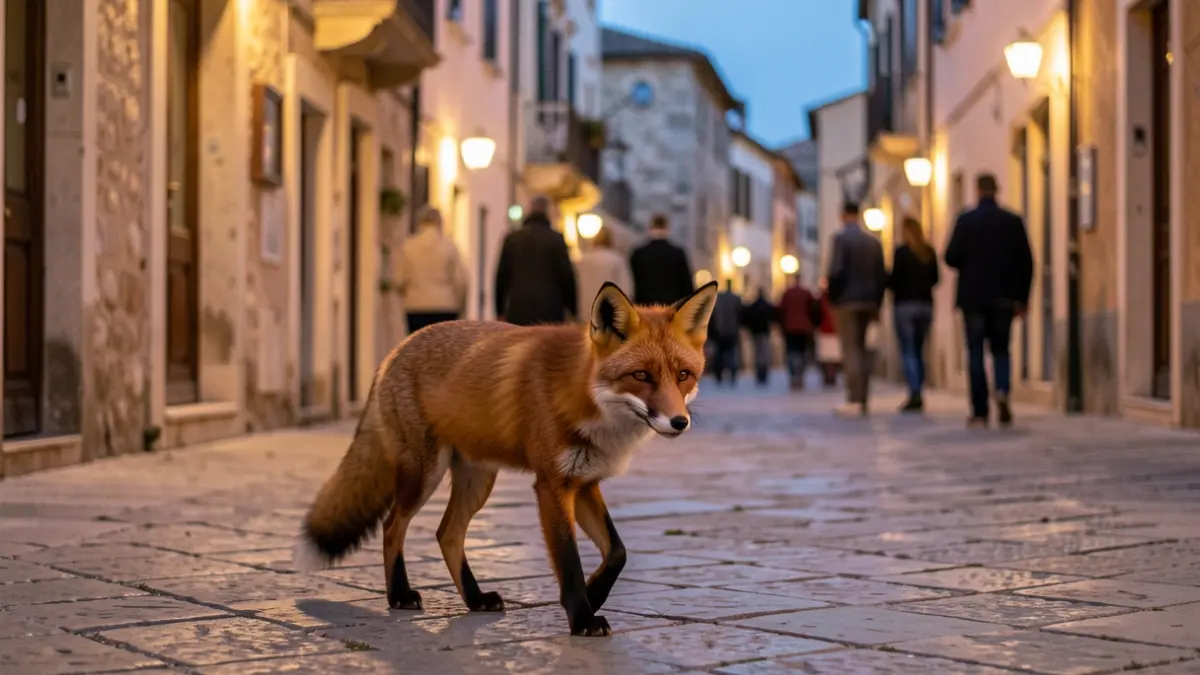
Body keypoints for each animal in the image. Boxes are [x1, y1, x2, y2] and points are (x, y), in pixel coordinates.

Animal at [292, 280, 718, 637]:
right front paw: (581, 616)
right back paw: (399, 595)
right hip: (425, 473)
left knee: (447, 533)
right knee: (393, 525)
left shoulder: (584, 481)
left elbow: (617, 552)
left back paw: (475, 599)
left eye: (683, 375)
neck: (585, 399)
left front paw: (593, 594)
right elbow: (569, 559)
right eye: (641, 376)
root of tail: (396, 350)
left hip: (477, 481)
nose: (679, 422)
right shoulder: (551, 485)